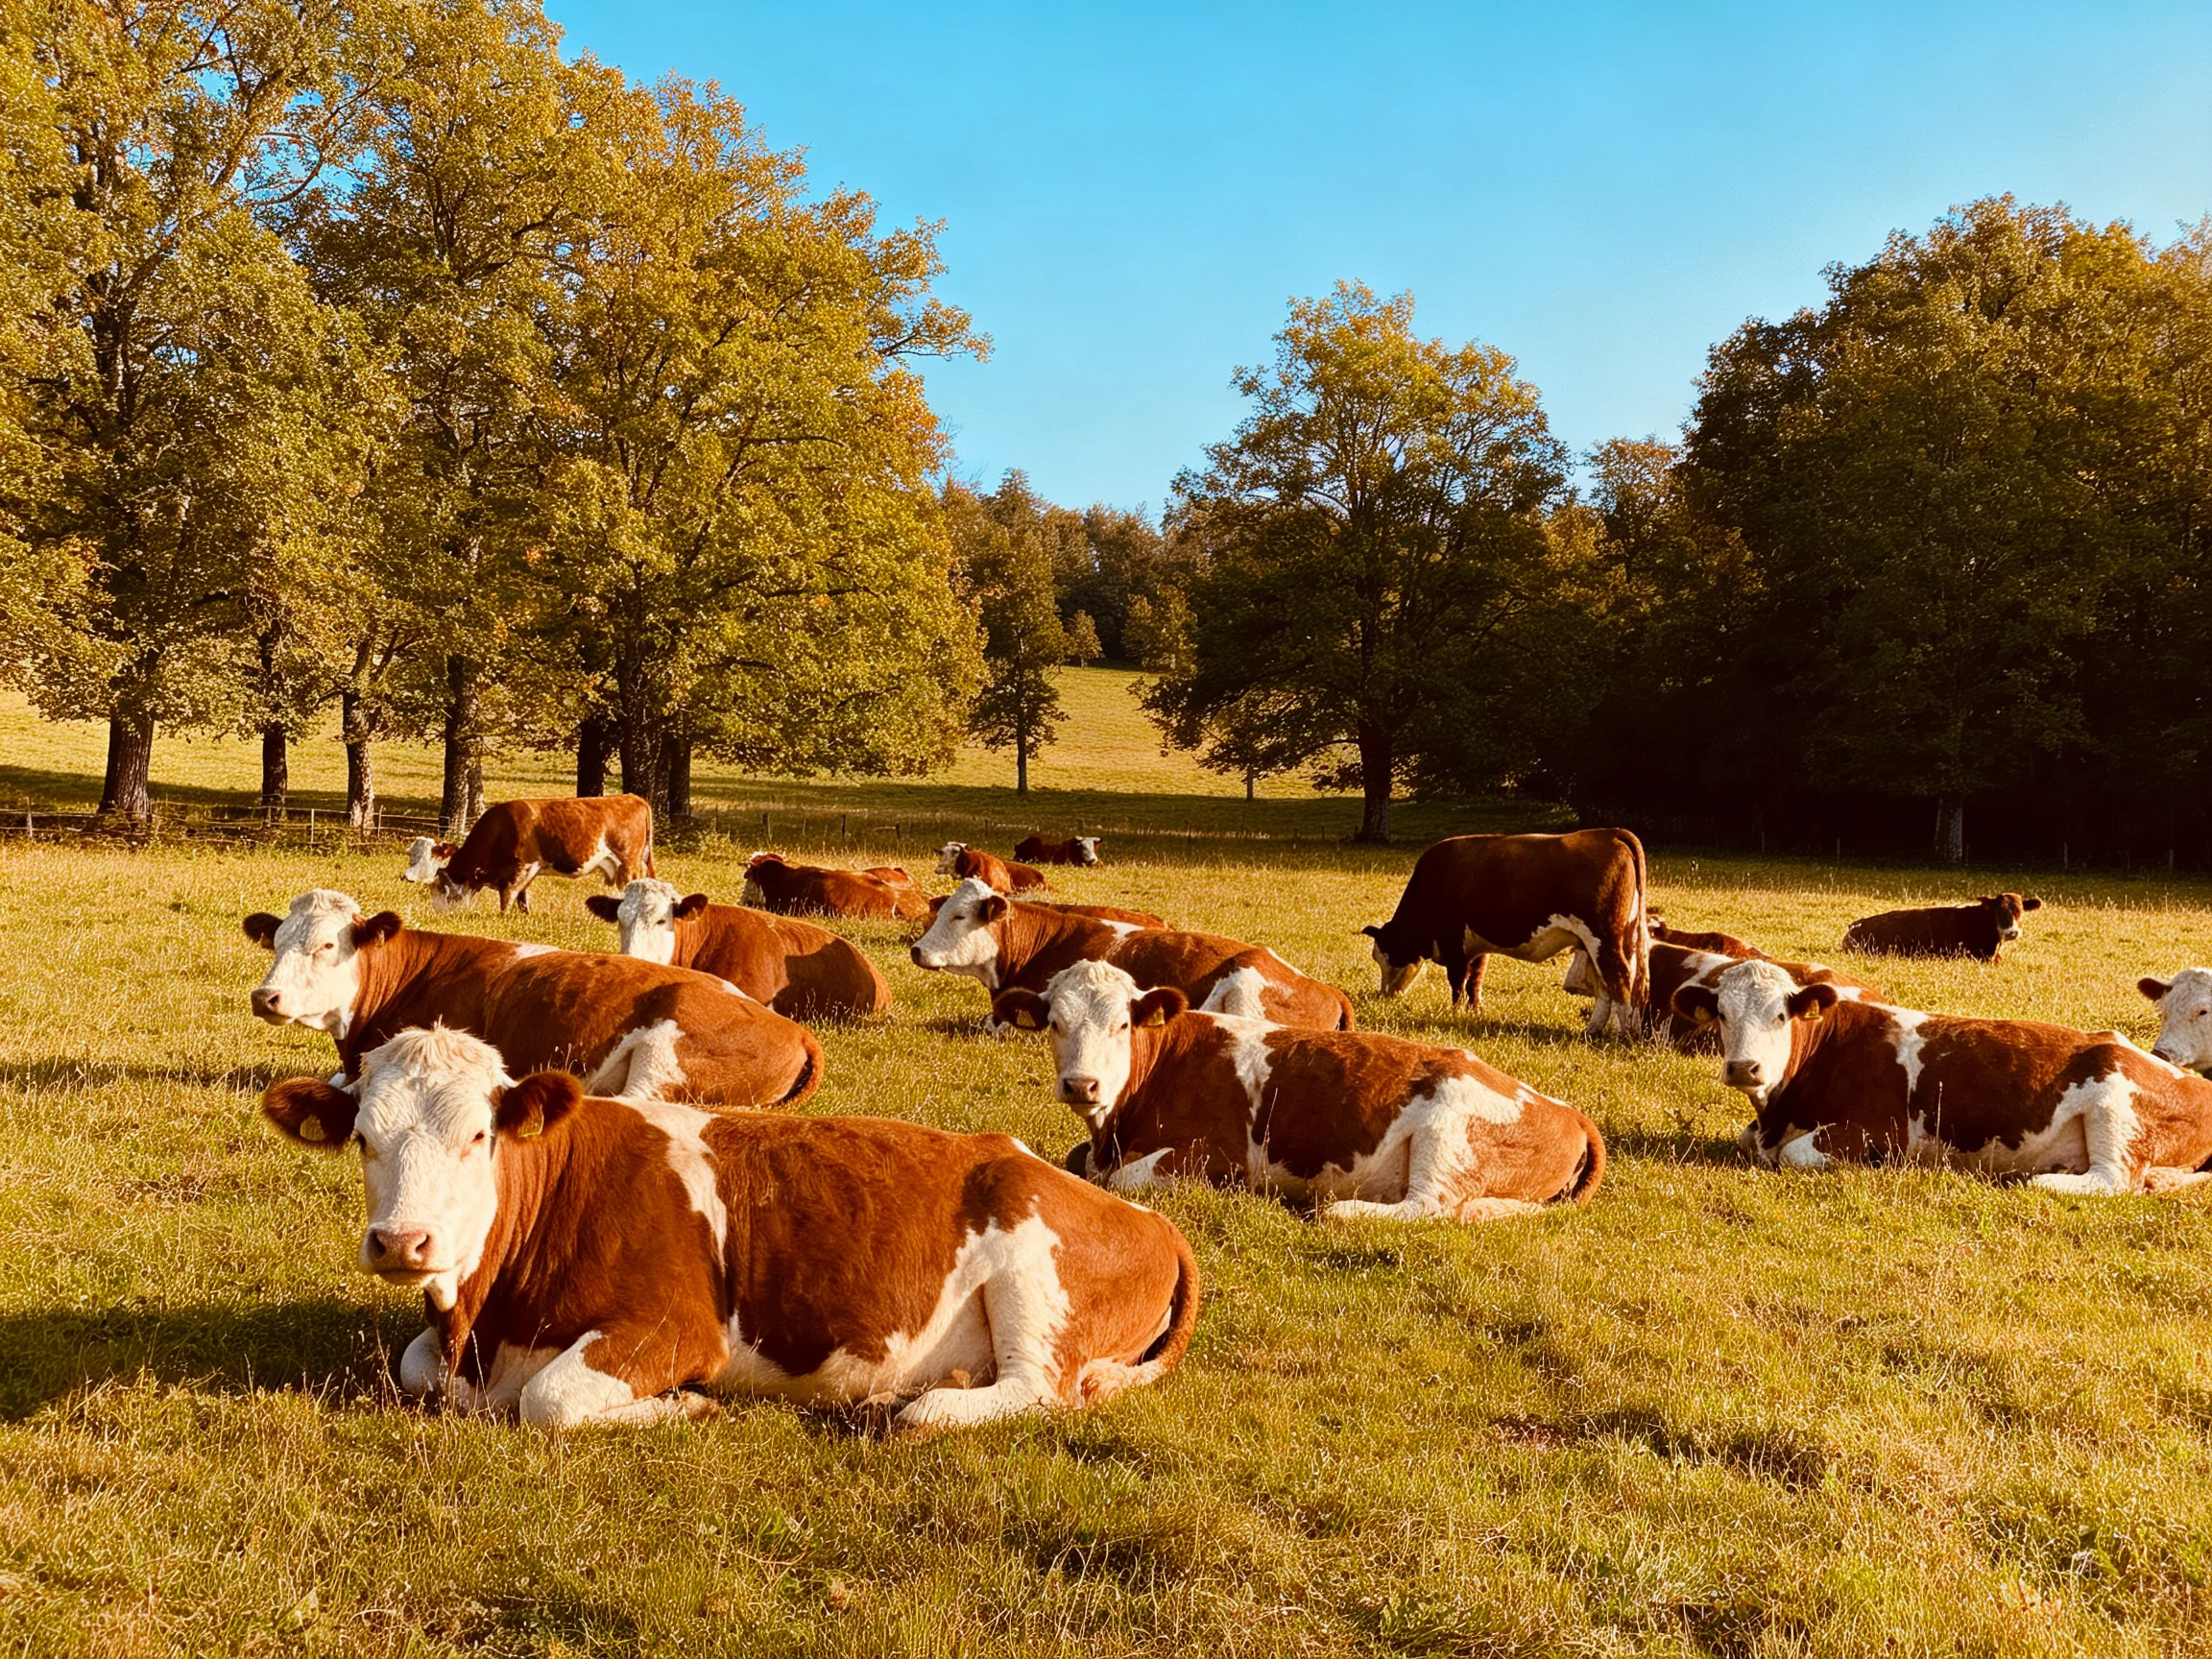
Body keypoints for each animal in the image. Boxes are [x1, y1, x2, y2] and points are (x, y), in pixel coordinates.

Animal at [260, 1025, 1199, 1431]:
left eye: (479, 1137)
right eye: (364, 1138)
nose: (402, 1243)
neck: (484, 1323)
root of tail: (1147, 1216)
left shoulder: (675, 1327)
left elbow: (548, 1400)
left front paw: (682, 1407)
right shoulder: (444, 1348)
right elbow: (416, 1370)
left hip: (1033, 1282)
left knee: (1026, 1390)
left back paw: (924, 1400)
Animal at [403, 795, 655, 915]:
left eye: (441, 889)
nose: (438, 913)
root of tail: (632, 797)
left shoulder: (522, 867)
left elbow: (508, 896)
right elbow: (522, 897)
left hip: (628, 862)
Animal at [990, 962, 1603, 1222]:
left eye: (1123, 1024)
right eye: (1054, 1024)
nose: (1081, 1083)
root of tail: (1568, 1111)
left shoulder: (1218, 1159)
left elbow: (1118, 1180)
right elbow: (1080, 1163)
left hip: (1446, 1133)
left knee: (1427, 1207)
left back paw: (1336, 1207)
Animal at [1363, 829, 1650, 1038]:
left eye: (1384, 956)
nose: (1385, 994)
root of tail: (1609, 833)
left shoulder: (1454, 944)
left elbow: (1457, 982)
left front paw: (1454, 1013)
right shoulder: (1476, 946)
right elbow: (1475, 980)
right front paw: (1474, 1010)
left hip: (1603, 938)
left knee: (1620, 980)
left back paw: (1623, 1034)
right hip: (1611, 941)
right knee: (1608, 986)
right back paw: (1593, 1031)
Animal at [1673, 959, 2212, 1193]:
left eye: (1781, 1015)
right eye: (1721, 1013)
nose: (1744, 1067)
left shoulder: (1882, 1133)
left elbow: (1796, 1155)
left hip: (2113, 1105)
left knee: (2111, 1180)